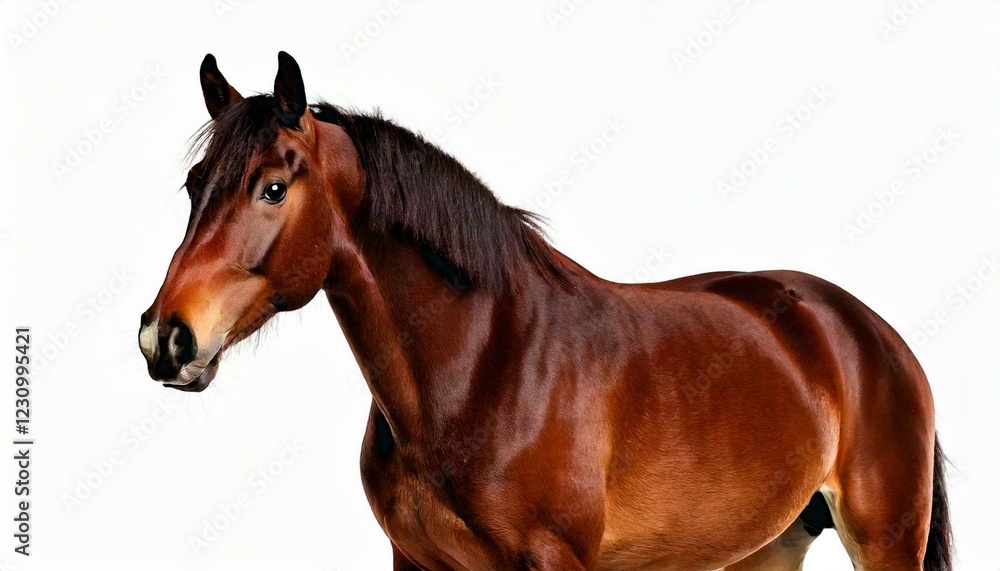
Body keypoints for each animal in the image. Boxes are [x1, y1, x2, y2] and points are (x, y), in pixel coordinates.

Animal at [139, 52, 952, 570]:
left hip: (885, 539)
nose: (164, 338)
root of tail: (867, 332)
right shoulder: (415, 562)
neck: (485, 363)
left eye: (273, 187)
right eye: (194, 184)